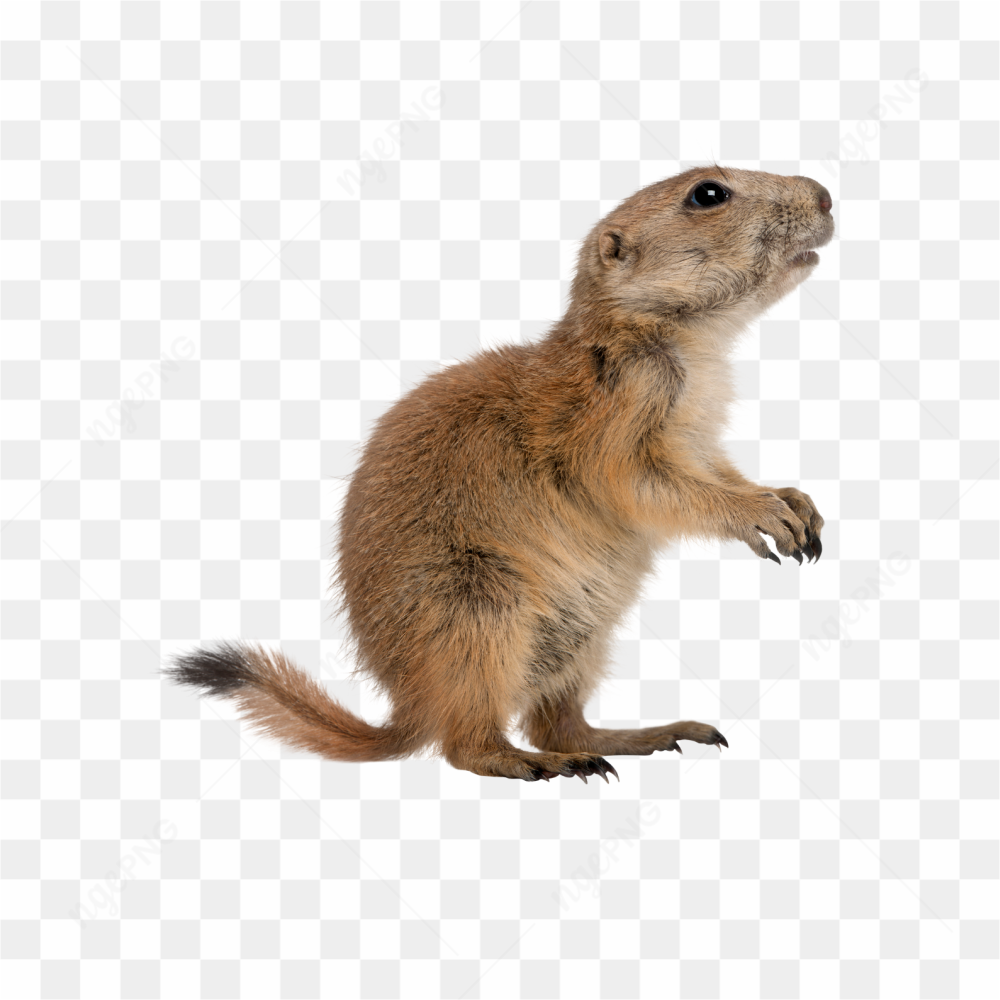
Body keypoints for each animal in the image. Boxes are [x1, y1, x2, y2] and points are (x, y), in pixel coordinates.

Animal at [165, 167, 834, 784]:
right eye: (708, 193)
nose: (826, 195)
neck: (686, 342)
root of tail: (409, 709)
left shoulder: (699, 429)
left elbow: (717, 470)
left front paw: (792, 500)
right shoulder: (617, 410)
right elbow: (641, 483)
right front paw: (760, 514)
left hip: (581, 639)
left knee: (558, 721)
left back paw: (647, 735)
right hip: (479, 608)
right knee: (467, 743)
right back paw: (539, 763)